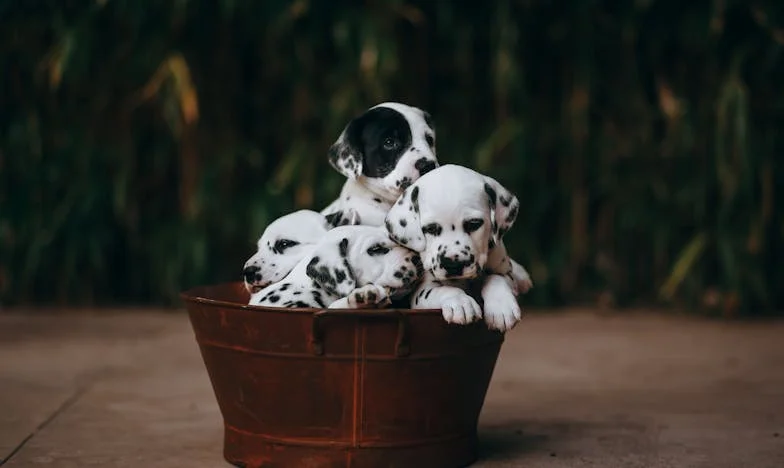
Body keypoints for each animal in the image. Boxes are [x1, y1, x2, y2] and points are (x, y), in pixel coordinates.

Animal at [386, 165, 528, 332]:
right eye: (431, 228)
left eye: (474, 224)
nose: (453, 264)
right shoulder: (421, 290)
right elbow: (442, 290)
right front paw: (460, 302)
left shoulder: (505, 272)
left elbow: (496, 279)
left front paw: (501, 306)